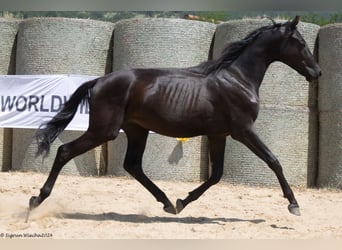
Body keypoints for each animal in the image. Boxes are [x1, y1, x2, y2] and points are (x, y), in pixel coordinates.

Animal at [29, 16, 320, 217]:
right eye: (300, 43)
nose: (316, 72)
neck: (237, 79)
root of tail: (99, 80)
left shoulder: (219, 134)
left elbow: (217, 175)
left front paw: (182, 202)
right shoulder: (243, 131)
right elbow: (274, 161)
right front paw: (294, 204)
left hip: (136, 130)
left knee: (133, 165)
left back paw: (168, 202)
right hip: (104, 130)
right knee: (65, 151)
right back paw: (36, 201)